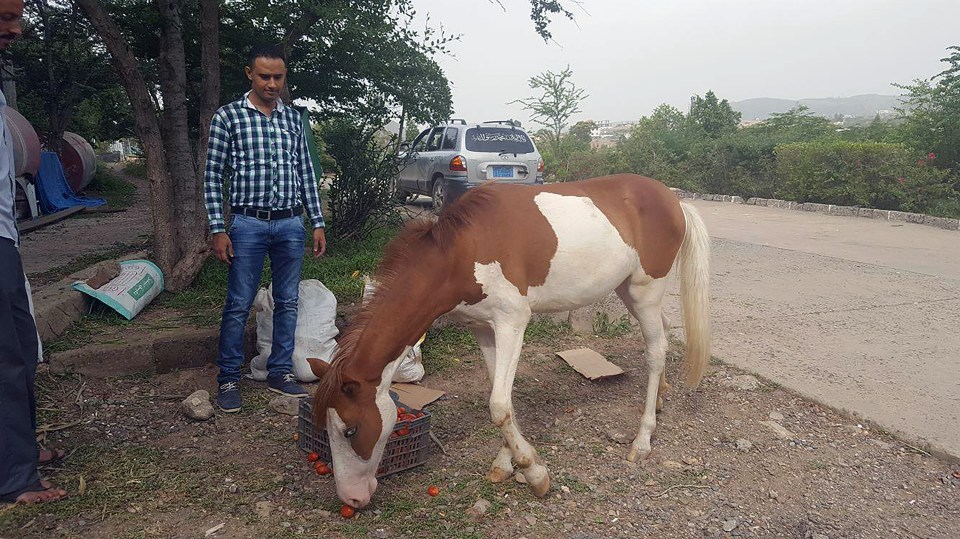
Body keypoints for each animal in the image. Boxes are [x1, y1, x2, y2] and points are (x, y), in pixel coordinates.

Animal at [310, 174, 712, 510]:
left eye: (350, 429)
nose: (352, 498)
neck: (463, 249)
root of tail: (674, 199)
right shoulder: (485, 329)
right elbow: (502, 397)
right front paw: (506, 463)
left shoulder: (512, 322)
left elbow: (499, 405)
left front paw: (534, 473)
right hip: (628, 290)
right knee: (662, 333)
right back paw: (660, 399)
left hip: (646, 291)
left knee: (656, 352)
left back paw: (642, 439)